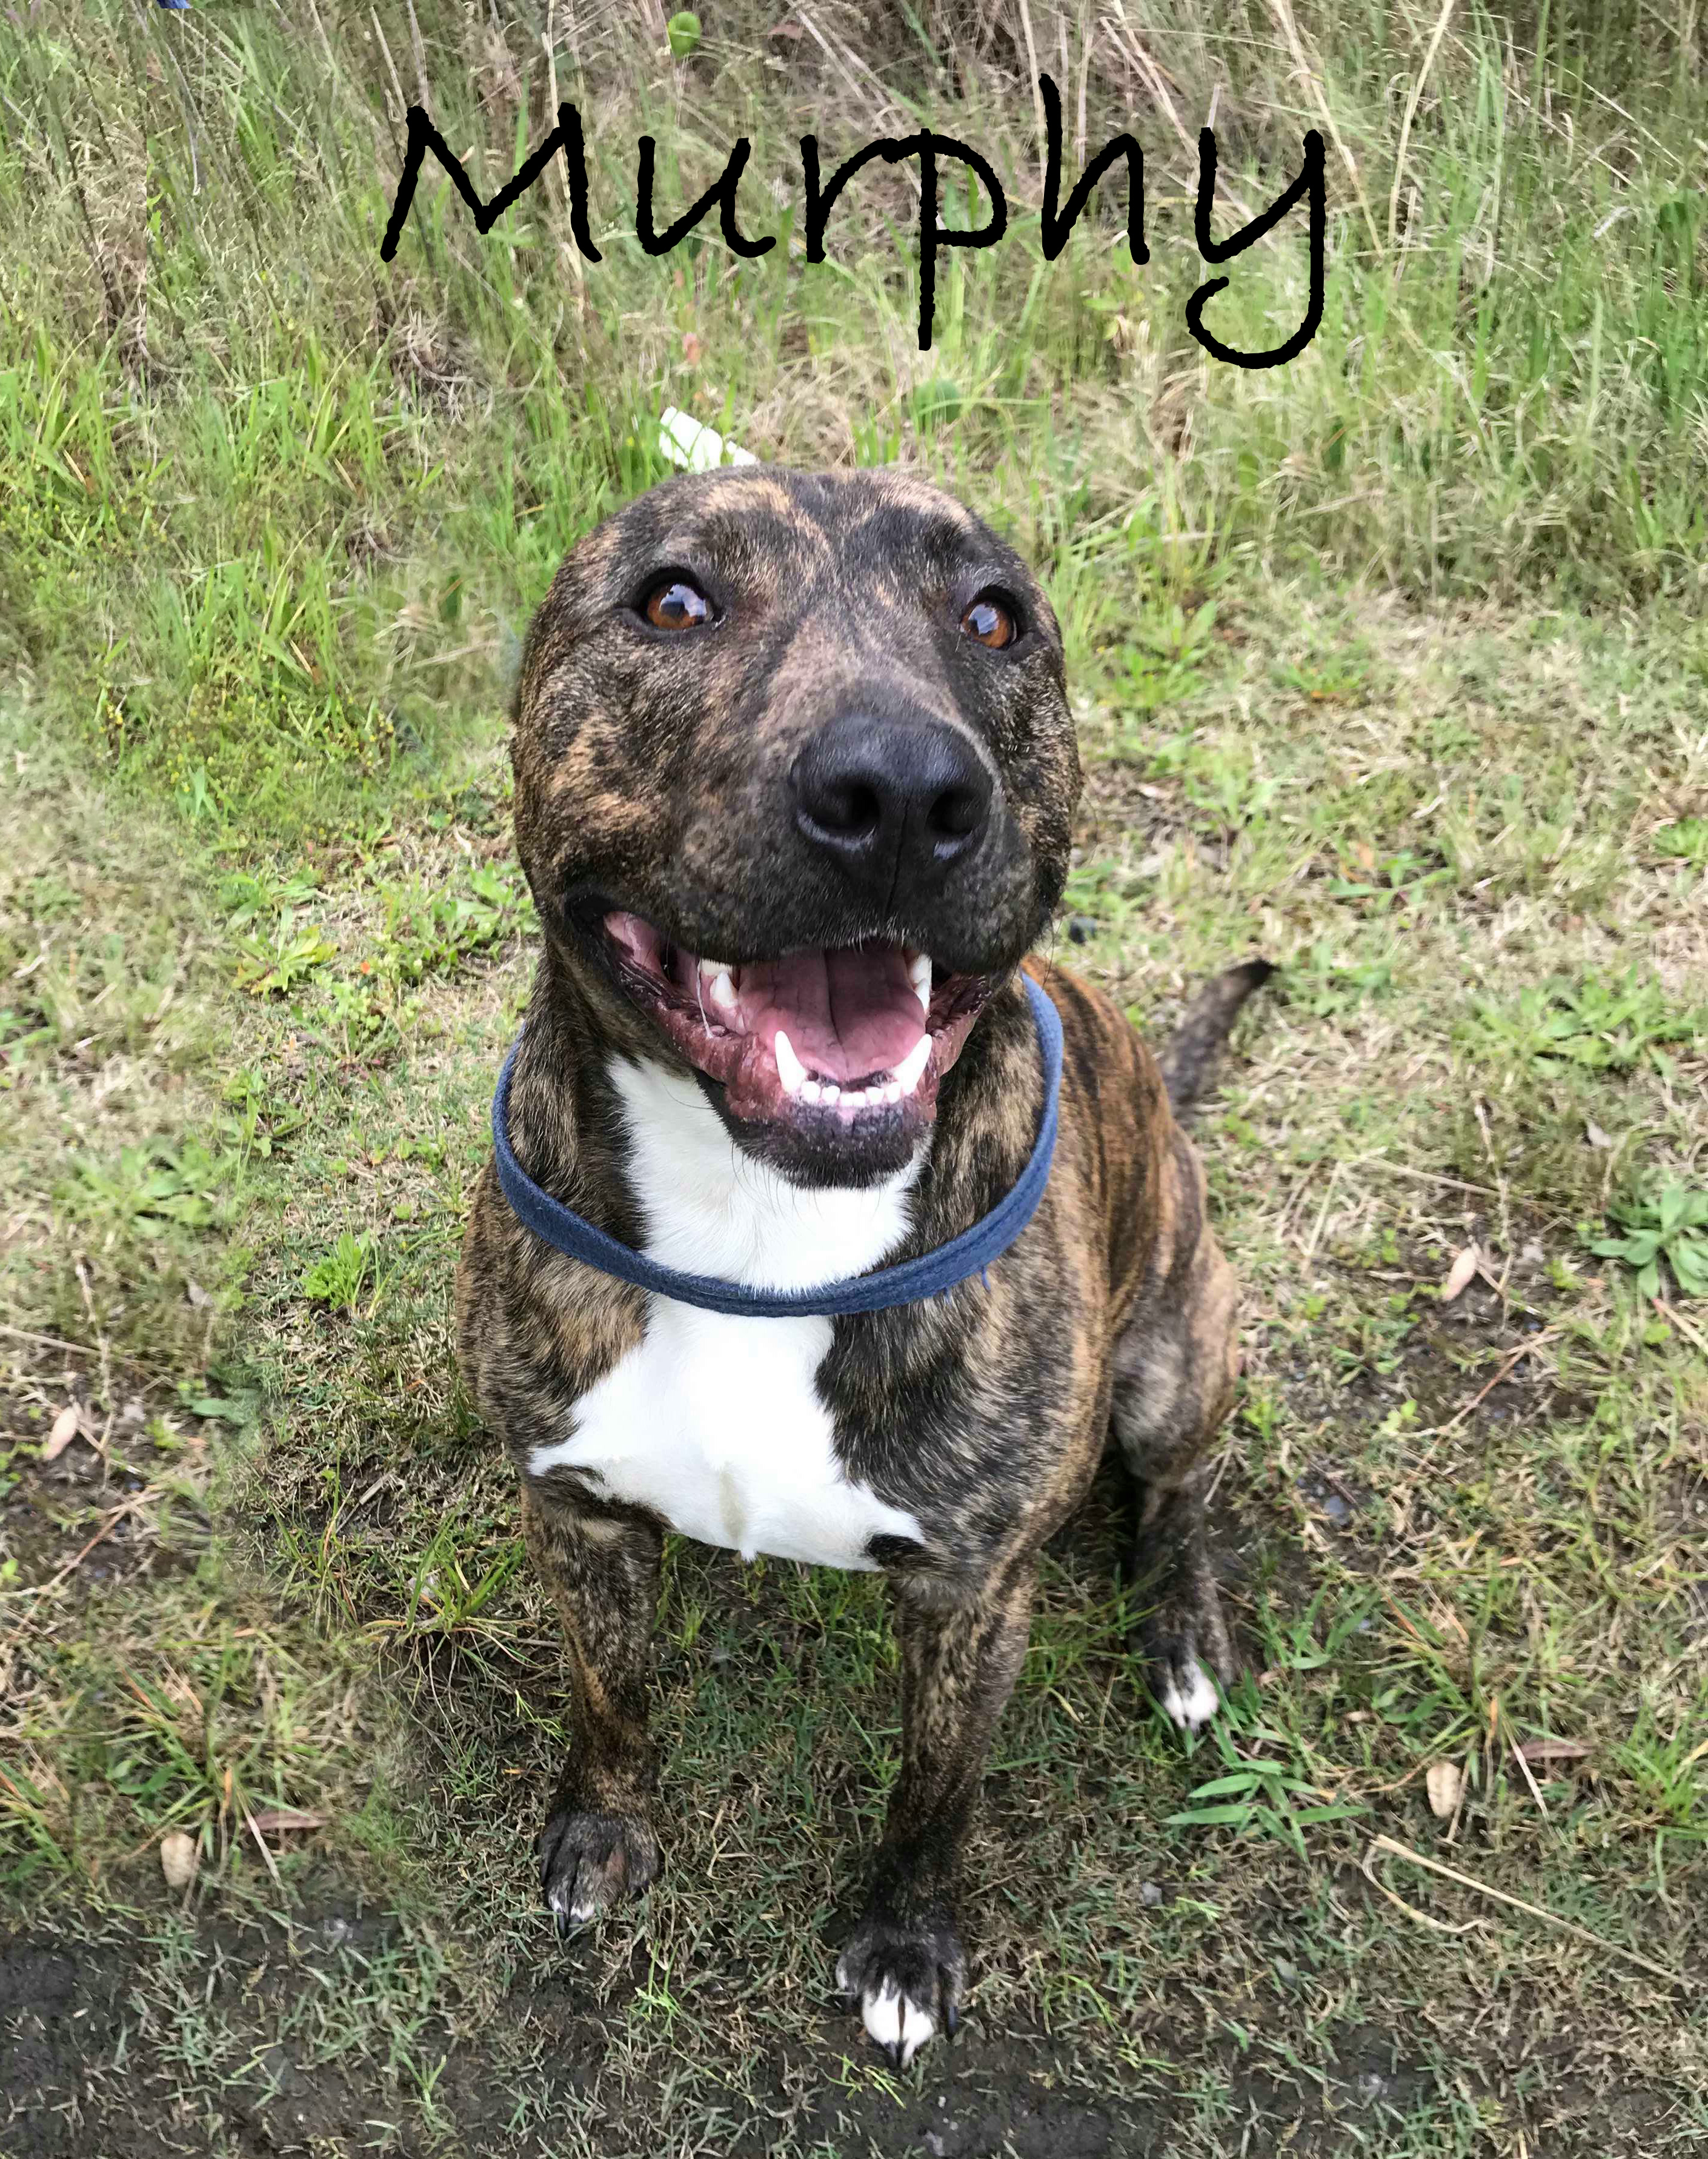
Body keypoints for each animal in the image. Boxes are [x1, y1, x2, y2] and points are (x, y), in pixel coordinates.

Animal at [456, 466, 1269, 2067]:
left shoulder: (972, 1593)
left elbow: (933, 1790)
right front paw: (601, 1828)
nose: (900, 793)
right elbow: (606, 1690)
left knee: (1178, 1496)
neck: (762, 1223)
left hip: (1176, 1352)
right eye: (672, 600)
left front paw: (902, 1939)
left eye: (992, 617)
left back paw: (1182, 1632)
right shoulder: (572, 1509)